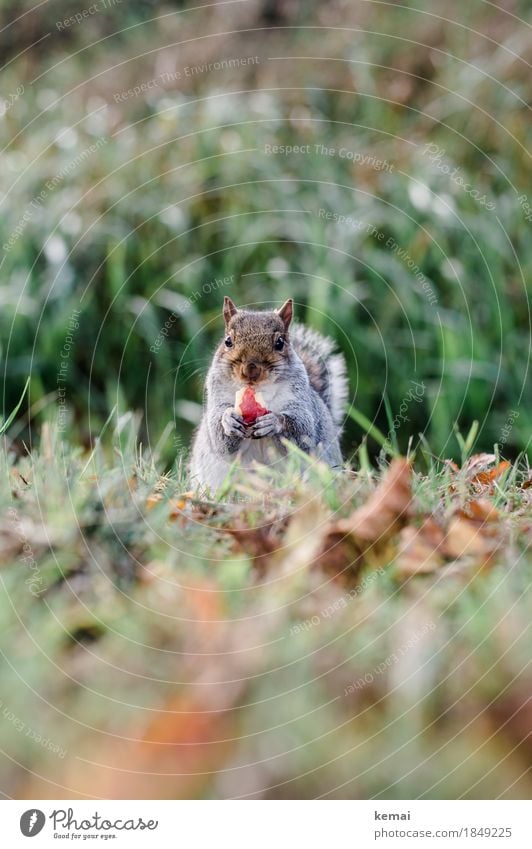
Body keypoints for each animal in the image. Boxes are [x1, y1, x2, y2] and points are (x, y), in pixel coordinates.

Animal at [191, 296, 350, 490]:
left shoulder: (300, 402)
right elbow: (219, 438)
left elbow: (303, 432)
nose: (250, 369)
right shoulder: (217, 396)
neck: (259, 390)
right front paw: (228, 420)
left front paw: (273, 422)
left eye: (280, 343)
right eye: (228, 341)